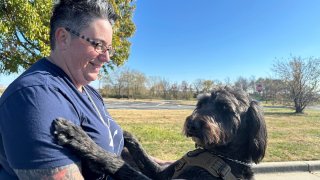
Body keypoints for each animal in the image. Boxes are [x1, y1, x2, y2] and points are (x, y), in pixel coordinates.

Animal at [53, 86, 268, 179]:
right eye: (201, 103)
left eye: (225, 108)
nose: (192, 124)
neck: (220, 155)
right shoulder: (161, 173)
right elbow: (142, 155)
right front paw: (126, 134)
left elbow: (120, 165)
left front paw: (79, 138)